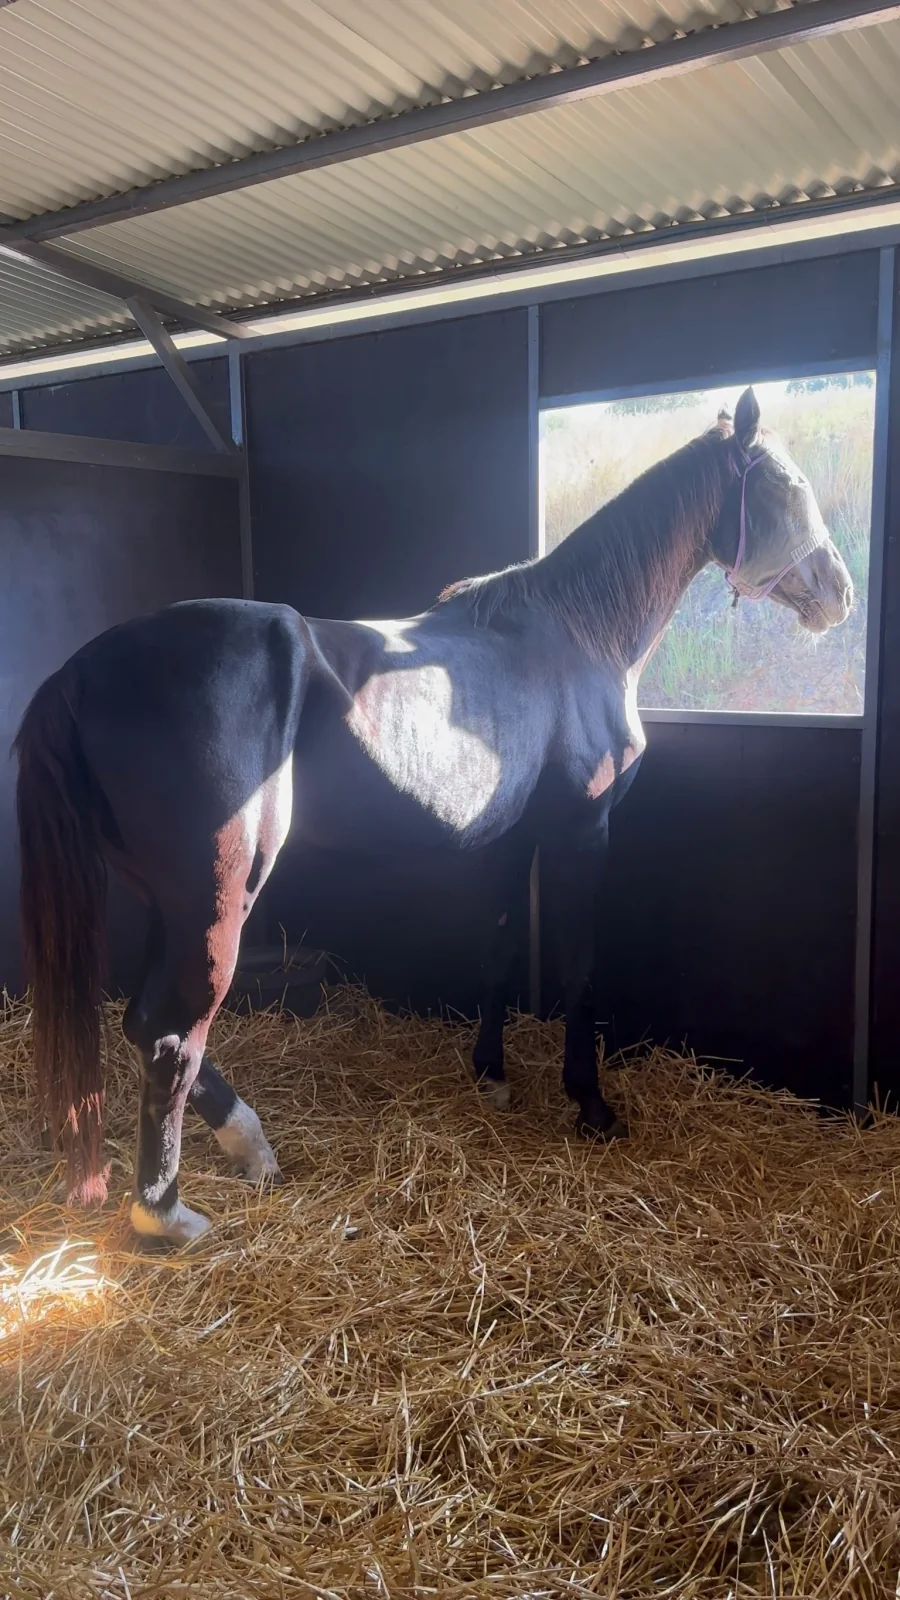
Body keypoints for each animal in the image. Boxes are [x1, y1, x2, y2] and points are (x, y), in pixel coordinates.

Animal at [15, 387, 852, 1245]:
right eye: (785, 486)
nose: (838, 591)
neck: (575, 632)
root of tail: (82, 673)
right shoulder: (582, 833)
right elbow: (579, 965)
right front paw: (590, 1103)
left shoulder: (513, 841)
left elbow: (500, 947)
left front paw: (492, 1075)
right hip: (214, 899)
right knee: (168, 1033)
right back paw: (167, 1214)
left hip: (169, 902)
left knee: (142, 1020)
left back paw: (249, 1145)